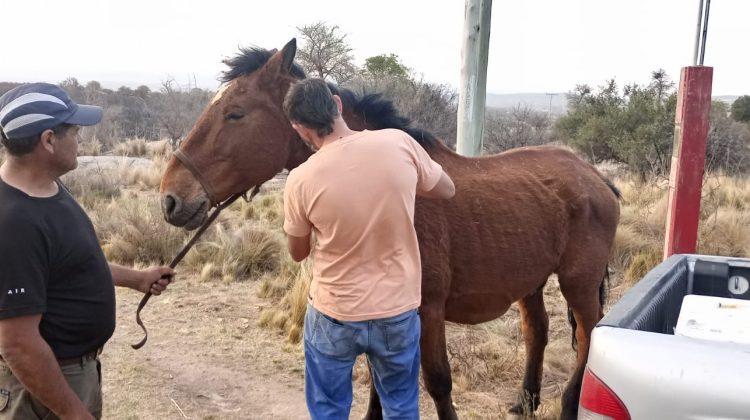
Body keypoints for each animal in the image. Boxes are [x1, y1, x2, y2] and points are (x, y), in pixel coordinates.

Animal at [160, 38, 624, 416]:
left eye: (234, 114)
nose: (171, 198)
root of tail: (594, 176)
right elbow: (377, 392)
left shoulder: (427, 312)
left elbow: (437, 383)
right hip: (530, 281)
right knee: (537, 332)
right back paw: (525, 401)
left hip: (579, 284)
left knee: (588, 338)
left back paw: (568, 405)